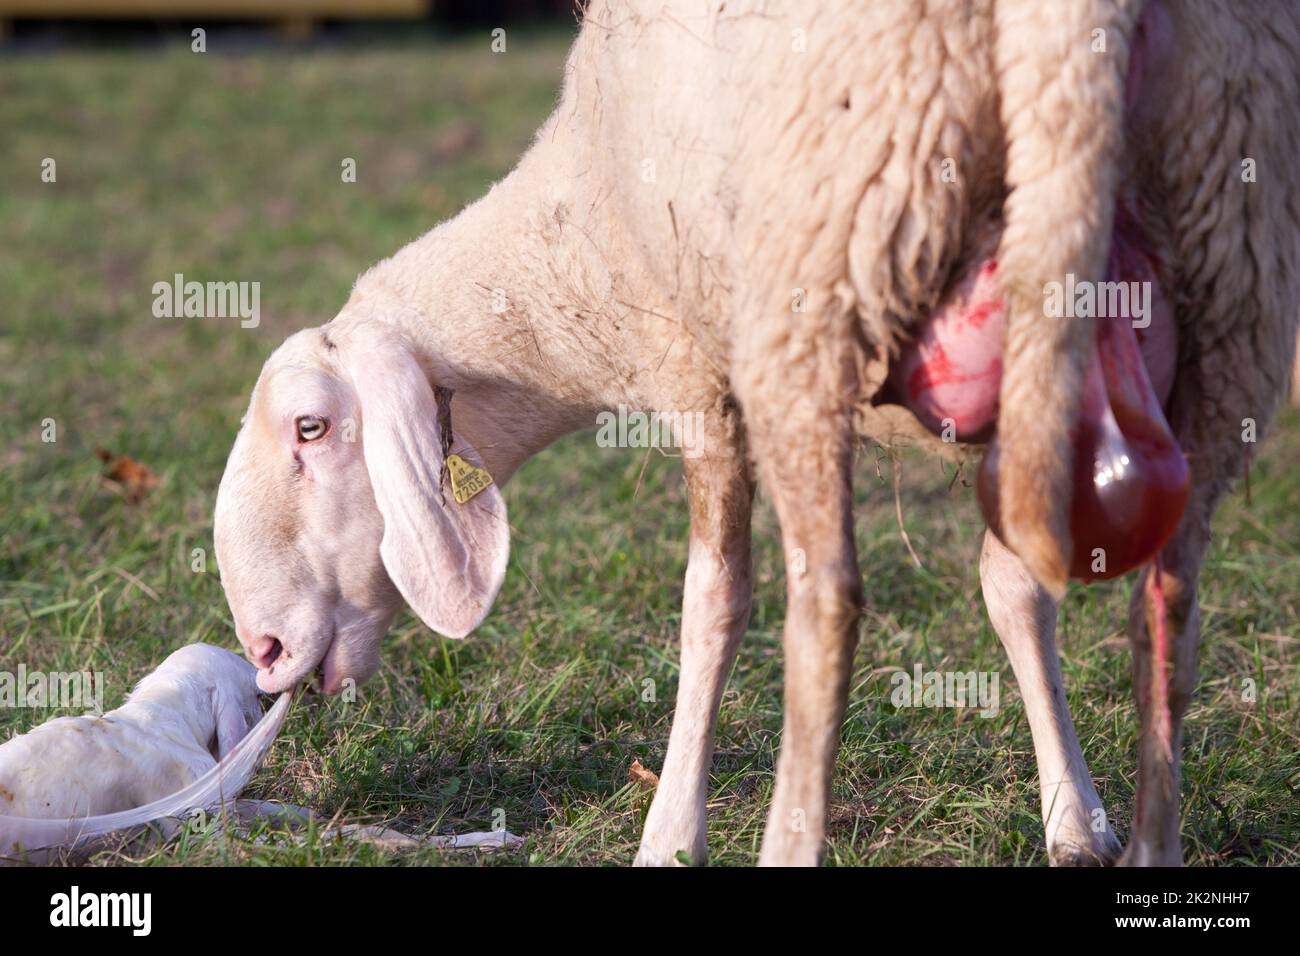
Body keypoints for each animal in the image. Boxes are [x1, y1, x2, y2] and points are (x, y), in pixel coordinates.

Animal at [213, 0, 1300, 868]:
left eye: (310, 426)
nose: (263, 650)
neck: (573, 265)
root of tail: (1081, 21)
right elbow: (1015, 587)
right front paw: (1075, 817)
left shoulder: (696, 361)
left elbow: (715, 600)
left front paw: (669, 832)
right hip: (1232, 270)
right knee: (1170, 608)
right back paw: (1157, 842)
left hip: (820, 278)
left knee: (826, 604)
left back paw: (788, 838)